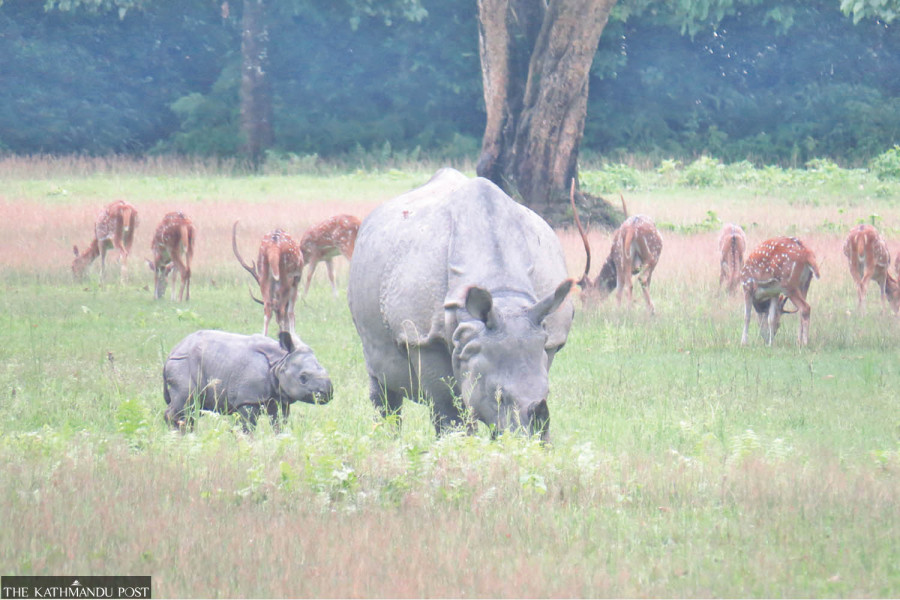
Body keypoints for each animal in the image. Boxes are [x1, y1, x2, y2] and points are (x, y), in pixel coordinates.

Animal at [163, 330, 333, 430]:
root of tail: (172, 352)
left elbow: (279, 424)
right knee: (185, 403)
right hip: (183, 363)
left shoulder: (279, 399)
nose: (328, 393)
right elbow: (247, 427)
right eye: (303, 378)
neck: (280, 361)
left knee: (191, 408)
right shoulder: (247, 399)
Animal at [347, 168, 573, 441]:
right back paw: (386, 440)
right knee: (382, 384)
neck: (503, 293)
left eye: (549, 393)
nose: (534, 446)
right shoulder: (423, 338)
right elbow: (449, 406)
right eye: (498, 395)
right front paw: (457, 445)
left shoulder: (546, 338)